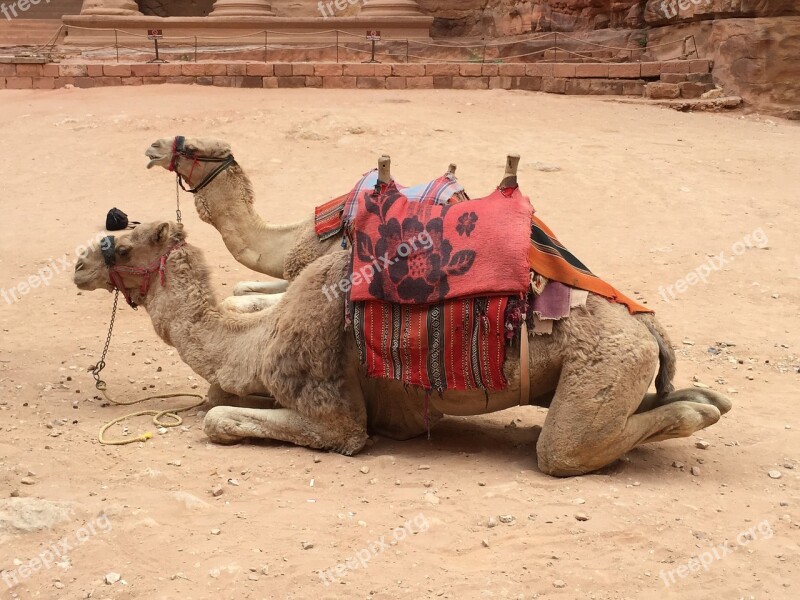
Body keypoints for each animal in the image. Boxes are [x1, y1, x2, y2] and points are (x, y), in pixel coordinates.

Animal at [73, 221, 732, 478]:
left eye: (122, 242)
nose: (78, 264)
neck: (251, 342)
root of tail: (647, 326)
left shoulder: (333, 411)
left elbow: (219, 419)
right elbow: (215, 400)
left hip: (602, 366)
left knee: (563, 451)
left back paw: (698, 412)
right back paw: (708, 398)